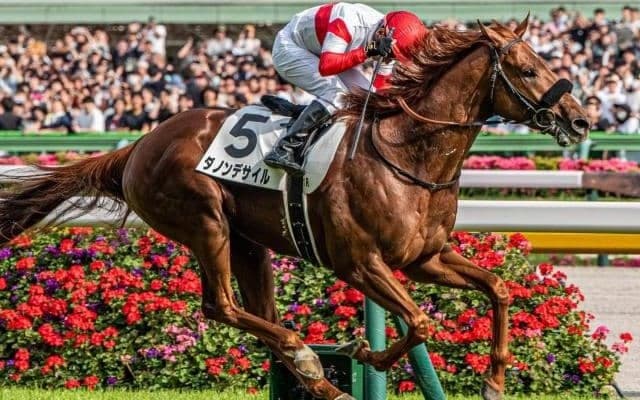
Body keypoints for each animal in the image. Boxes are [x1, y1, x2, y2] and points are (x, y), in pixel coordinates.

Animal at [0, 17, 588, 400]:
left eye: (544, 62)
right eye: (528, 70)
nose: (580, 120)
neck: (407, 154)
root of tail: (139, 145)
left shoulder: (426, 258)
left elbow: (499, 288)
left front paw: (493, 380)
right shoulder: (360, 263)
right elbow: (420, 322)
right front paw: (363, 352)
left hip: (248, 243)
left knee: (261, 313)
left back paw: (319, 380)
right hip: (205, 222)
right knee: (221, 307)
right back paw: (309, 359)